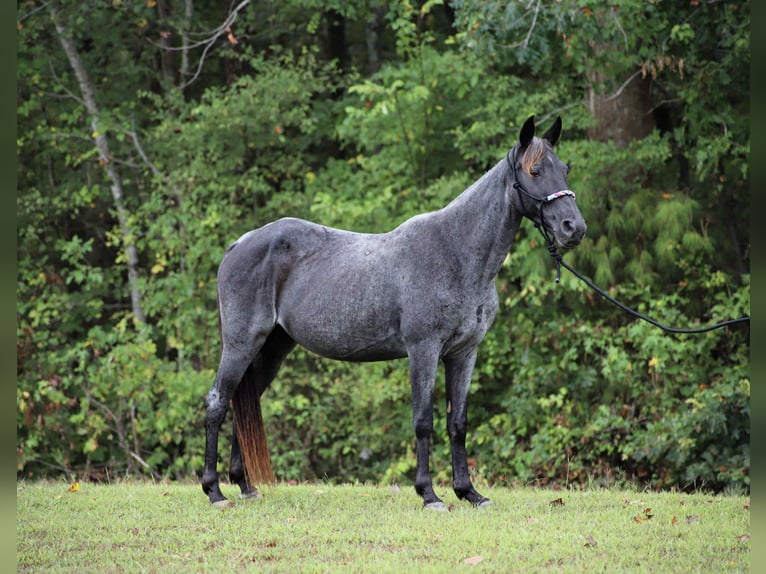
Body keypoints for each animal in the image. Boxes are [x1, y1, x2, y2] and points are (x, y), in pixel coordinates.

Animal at [202, 115, 587, 510]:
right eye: (535, 170)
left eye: (565, 169)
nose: (573, 228)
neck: (456, 251)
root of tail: (239, 244)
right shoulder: (423, 350)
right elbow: (423, 421)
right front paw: (429, 494)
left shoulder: (464, 353)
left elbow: (458, 423)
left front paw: (469, 493)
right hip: (242, 343)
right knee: (217, 402)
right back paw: (215, 491)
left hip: (272, 348)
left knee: (245, 401)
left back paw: (245, 486)